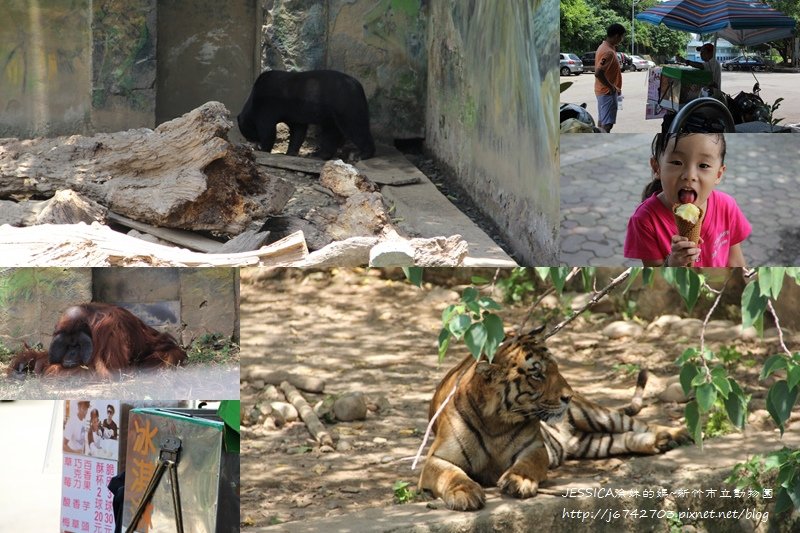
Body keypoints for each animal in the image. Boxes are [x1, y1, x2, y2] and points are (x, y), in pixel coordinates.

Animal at [238, 69, 376, 159]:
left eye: (248, 135)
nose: (251, 144)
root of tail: (358, 86)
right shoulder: (293, 113)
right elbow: (298, 130)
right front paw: (290, 152)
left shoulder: (267, 105)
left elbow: (267, 129)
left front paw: (264, 149)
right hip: (331, 112)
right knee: (331, 132)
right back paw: (318, 154)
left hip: (345, 103)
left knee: (355, 127)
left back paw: (361, 154)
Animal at [418, 324, 688, 512]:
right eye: (537, 374)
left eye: (556, 368)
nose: (568, 396)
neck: (496, 420)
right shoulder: (437, 458)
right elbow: (451, 474)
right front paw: (464, 492)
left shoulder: (535, 448)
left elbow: (527, 465)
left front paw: (519, 480)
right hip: (590, 443)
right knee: (622, 439)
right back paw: (658, 442)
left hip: (595, 415)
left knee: (635, 423)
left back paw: (677, 434)